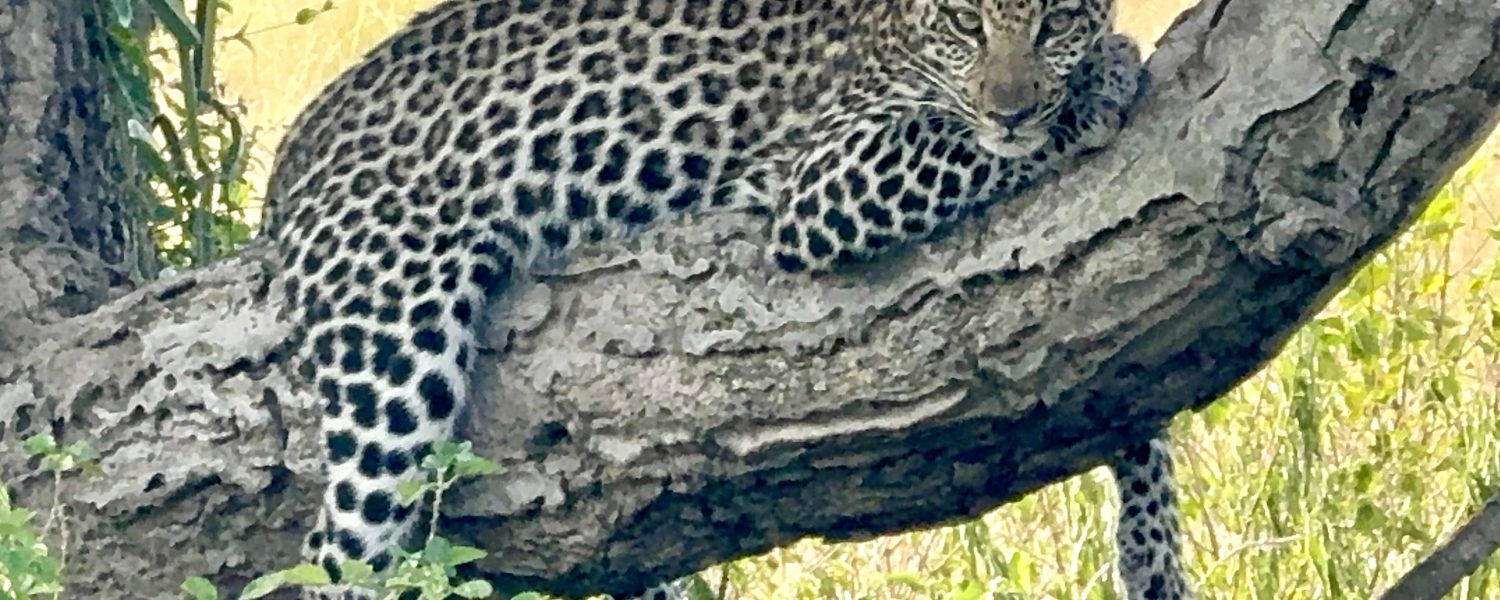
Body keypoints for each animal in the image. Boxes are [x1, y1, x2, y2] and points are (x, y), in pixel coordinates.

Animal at [258, 1, 1188, 600]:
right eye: (968, 25)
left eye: (1054, 23)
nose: (1014, 106)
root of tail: (293, 151)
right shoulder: (823, 187)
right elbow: (957, 142)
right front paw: (1097, 85)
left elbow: (1129, 402)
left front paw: (1155, 558)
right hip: (393, 340)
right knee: (341, 553)